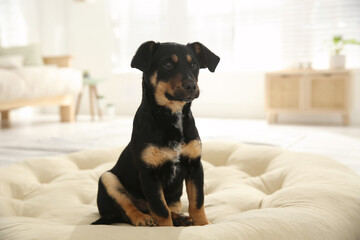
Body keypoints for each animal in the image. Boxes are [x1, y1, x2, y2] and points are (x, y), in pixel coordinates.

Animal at [92, 41, 219, 227]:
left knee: (168, 207)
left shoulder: (195, 166)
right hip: (108, 178)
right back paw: (144, 219)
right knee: (129, 210)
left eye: (194, 65)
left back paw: (180, 217)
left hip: (174, 196)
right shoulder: (149, 174)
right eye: (167, 64)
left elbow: (197, 202)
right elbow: (160, 209)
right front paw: (165, 229)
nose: (191, 86)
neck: (171, 116)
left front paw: (203, 225)